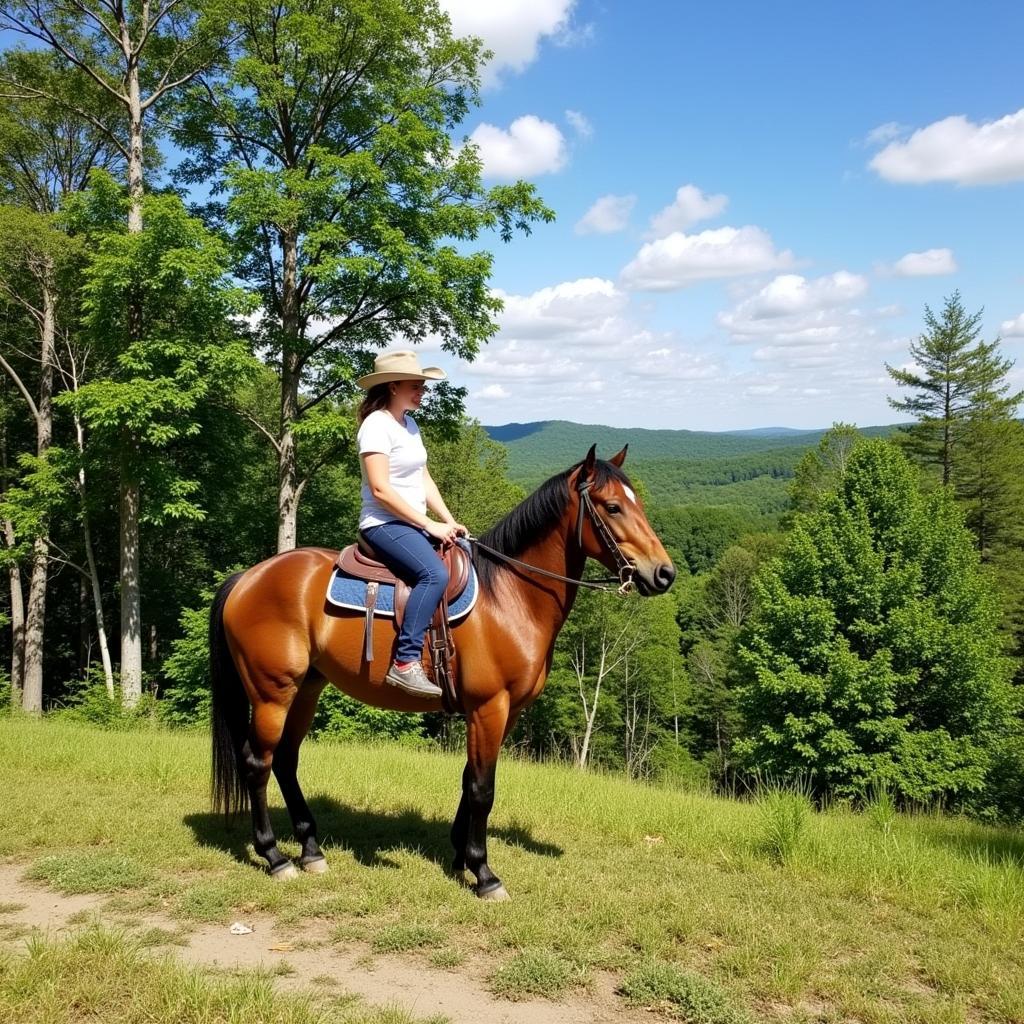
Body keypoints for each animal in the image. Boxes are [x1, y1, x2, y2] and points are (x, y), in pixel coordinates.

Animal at [209, 444, 671, 901]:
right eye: (612, 506)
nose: (664, 573)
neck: (509, 596)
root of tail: (247, 578)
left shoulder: (503, 713)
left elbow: (469, 781)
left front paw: (460, 857)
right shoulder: (489, 708)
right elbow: (483, 788)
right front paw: (484, 873)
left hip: (306, 688)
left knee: (286, 760)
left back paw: (310, 850)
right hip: (272, 692)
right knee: (258, 762)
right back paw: (275, 856)